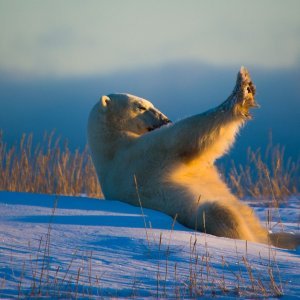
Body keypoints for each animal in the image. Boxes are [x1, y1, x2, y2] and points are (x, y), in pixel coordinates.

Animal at [88, 68, 298, 251]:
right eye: (140, 106)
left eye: (150, 103)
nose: (165, 120)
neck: (110, 147)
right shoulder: (138, 158)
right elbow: (185, 135)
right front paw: (243, 88)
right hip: (201, 214)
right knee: (220, 213)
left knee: (275, 233)